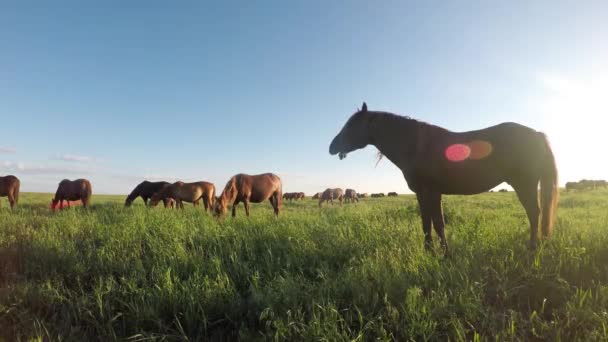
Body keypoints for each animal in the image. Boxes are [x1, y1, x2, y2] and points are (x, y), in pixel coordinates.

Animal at [330, 101, 560, 251]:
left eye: (351, 125)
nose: (332, 147)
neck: (416, 146)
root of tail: (537, 135)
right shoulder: (423, 193)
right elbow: (427, 222)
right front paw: (430, 250)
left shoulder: (431, 191)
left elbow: (438, 223)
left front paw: (444, 254)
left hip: (525, 184)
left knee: (534, 213)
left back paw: (532, 247)